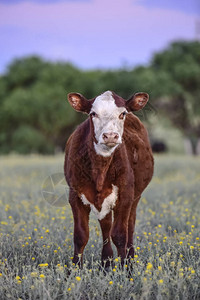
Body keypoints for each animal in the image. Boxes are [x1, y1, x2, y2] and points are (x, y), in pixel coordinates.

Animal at [64, 89, 153, 268]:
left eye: (122, 113)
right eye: (93, 113)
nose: (110, 135)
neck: (100, 169)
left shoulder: (125, 196)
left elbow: (120, 235)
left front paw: (125, 269)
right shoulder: (74, 195)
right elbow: (80, 235)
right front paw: (75, 269)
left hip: (136, 197)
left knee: (129, 226)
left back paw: (129, 259)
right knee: (106, 226)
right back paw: (106, 262)